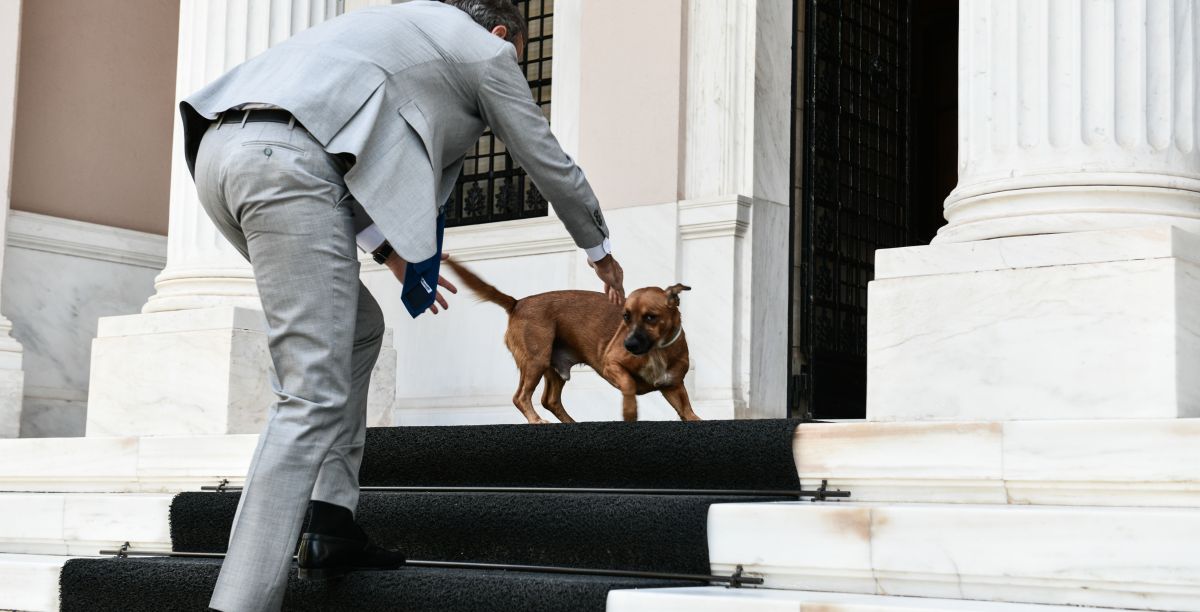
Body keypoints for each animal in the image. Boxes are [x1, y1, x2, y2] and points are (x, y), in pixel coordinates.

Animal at [445, 258, 700, 423]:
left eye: (650, 317)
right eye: (625, 317)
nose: (628, 345)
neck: (656, 350)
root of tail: (517, 303)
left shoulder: (673, 386)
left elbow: (687, 410)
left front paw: (695, 418)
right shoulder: (611, 365)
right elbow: (628, 384)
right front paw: (629, 411)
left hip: (553, 368)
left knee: (549, 400)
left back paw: (570, 423)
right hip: (536, 360)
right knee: (521, 397)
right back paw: (536, 420)